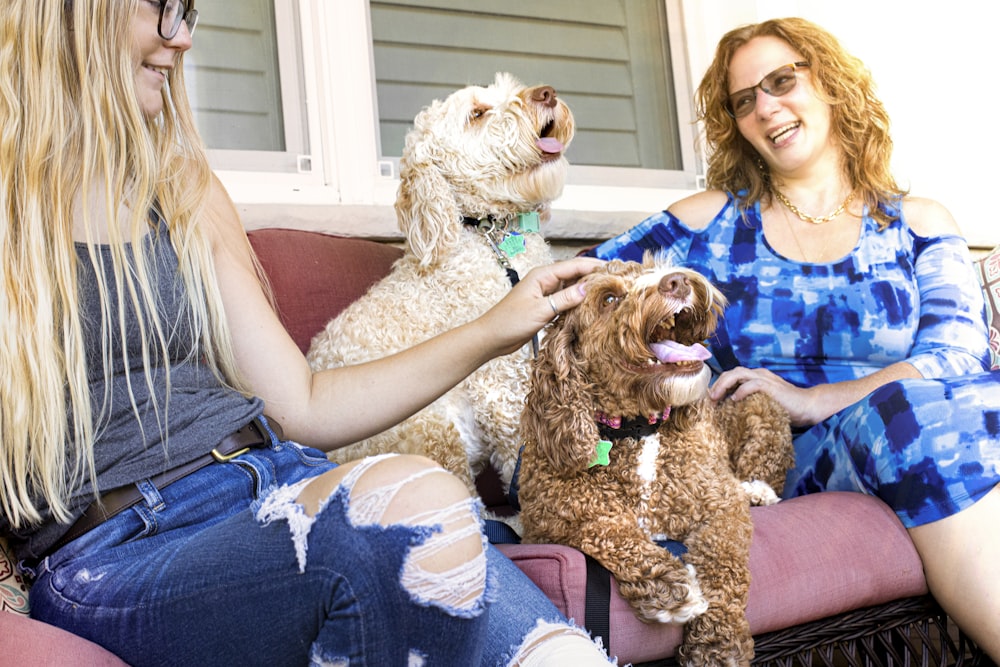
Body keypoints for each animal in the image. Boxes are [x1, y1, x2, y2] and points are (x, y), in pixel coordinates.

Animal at [304, 73, 576, 496]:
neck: (487, 232)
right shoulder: (503, 387)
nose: (546, 93)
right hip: (431, 432)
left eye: (509, 85)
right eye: (477, 114)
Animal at [520, 256, 792, 667]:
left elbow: (724, 564)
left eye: (653, 265)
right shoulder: (544, 520)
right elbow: (605, 528)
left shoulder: (721, 505)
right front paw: (670, 585)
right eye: (609, 298)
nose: (677, 281)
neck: (639, 429)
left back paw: (757, 490)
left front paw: (718, 643)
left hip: (760, 403)